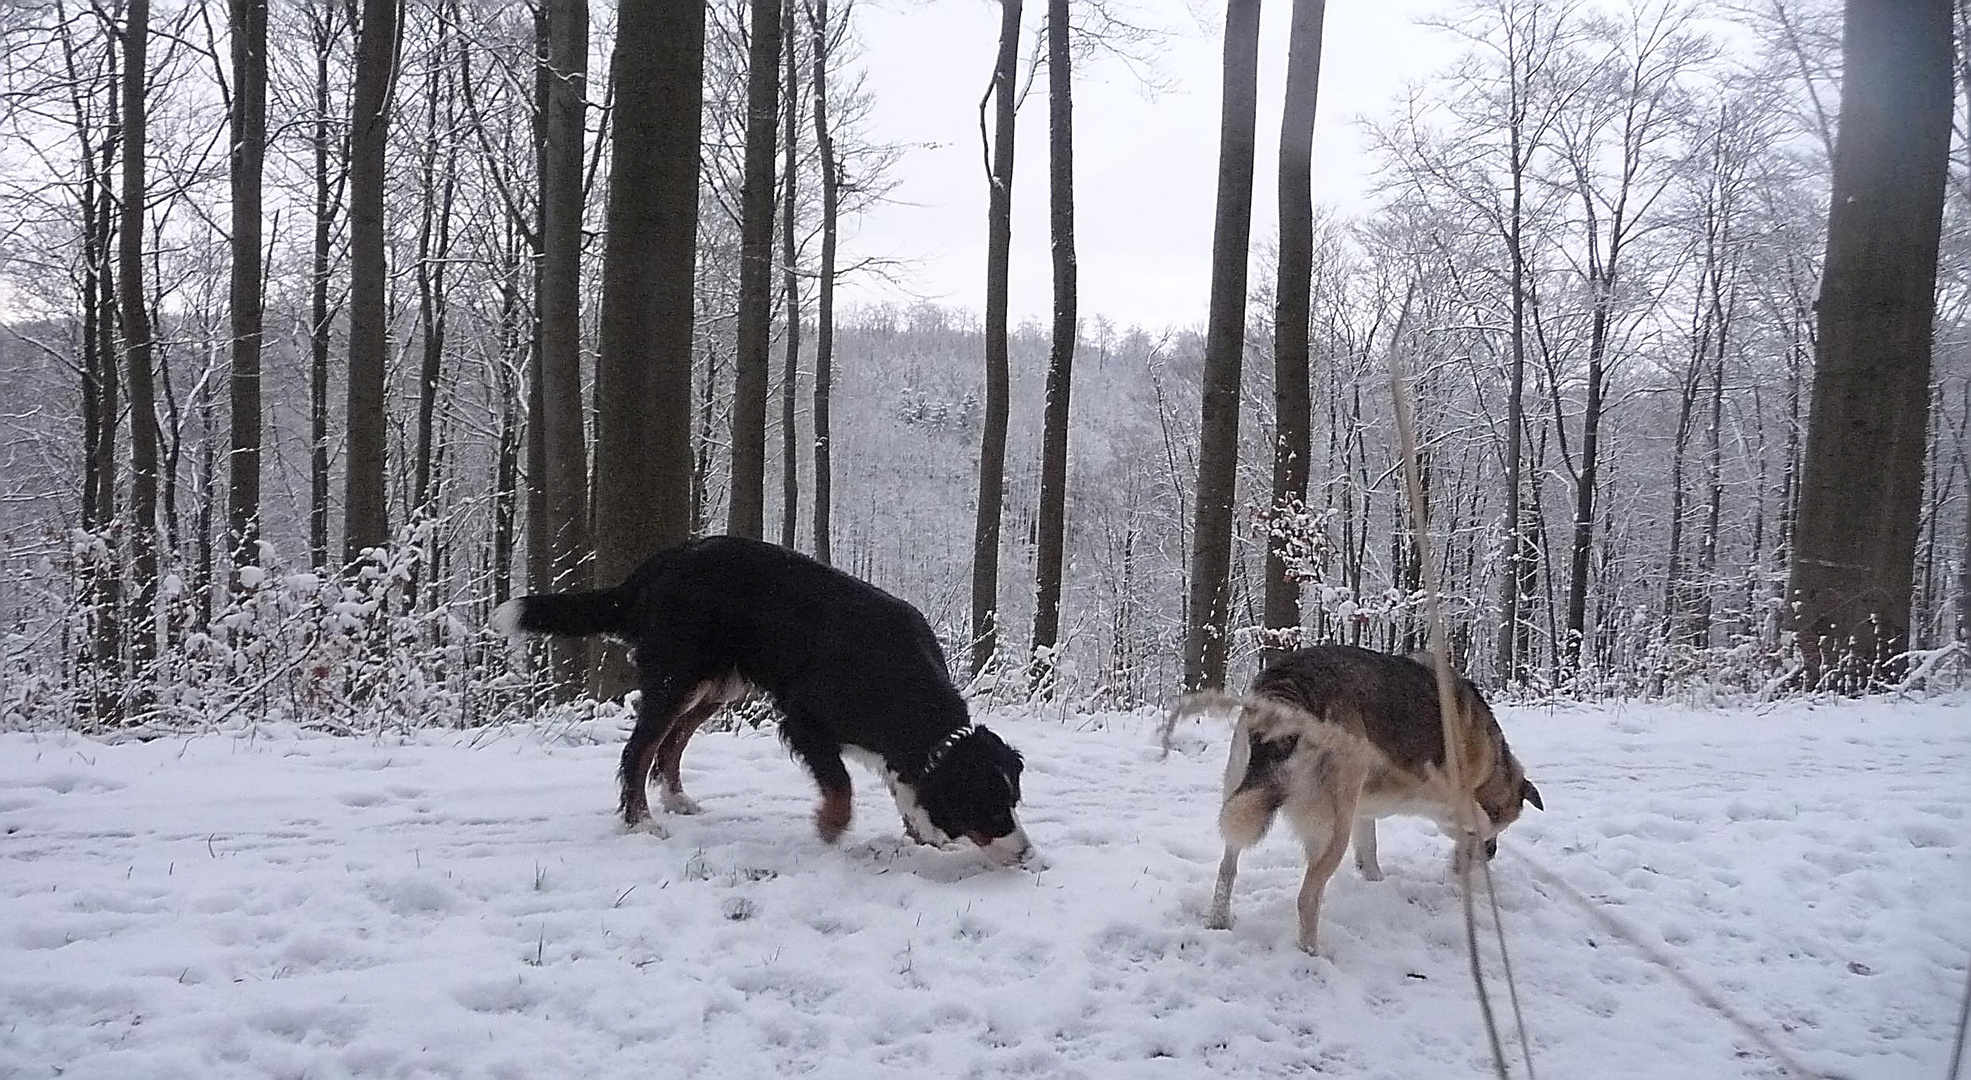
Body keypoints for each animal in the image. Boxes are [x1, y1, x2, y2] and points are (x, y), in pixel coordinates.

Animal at [492, 536, 1032, 863]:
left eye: (1013, 801)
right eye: (989, 808)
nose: (1025, 852)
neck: (897, 684)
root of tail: (660, 563)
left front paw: (921, 830)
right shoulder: (803, 718)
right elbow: (840, 786)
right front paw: (830, 829)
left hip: (716, 684)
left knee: (672, 741)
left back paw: (676, 799)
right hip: (676, 677)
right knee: (639, 749)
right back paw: (642, 821)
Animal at [1158, 646, 1545, 949]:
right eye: (1504, 828)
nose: (1490, 854)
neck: (1493, 759)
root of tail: (1290, 682)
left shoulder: (1362, 808)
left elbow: (1369, 849)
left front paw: (1377, 881)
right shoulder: (1447, 797)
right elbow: (1472, 819)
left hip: (1242, 797)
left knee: (1228, 866)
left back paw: (1218, 920)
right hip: (1332, 830)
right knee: (1306, 898)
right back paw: (1313, 955)